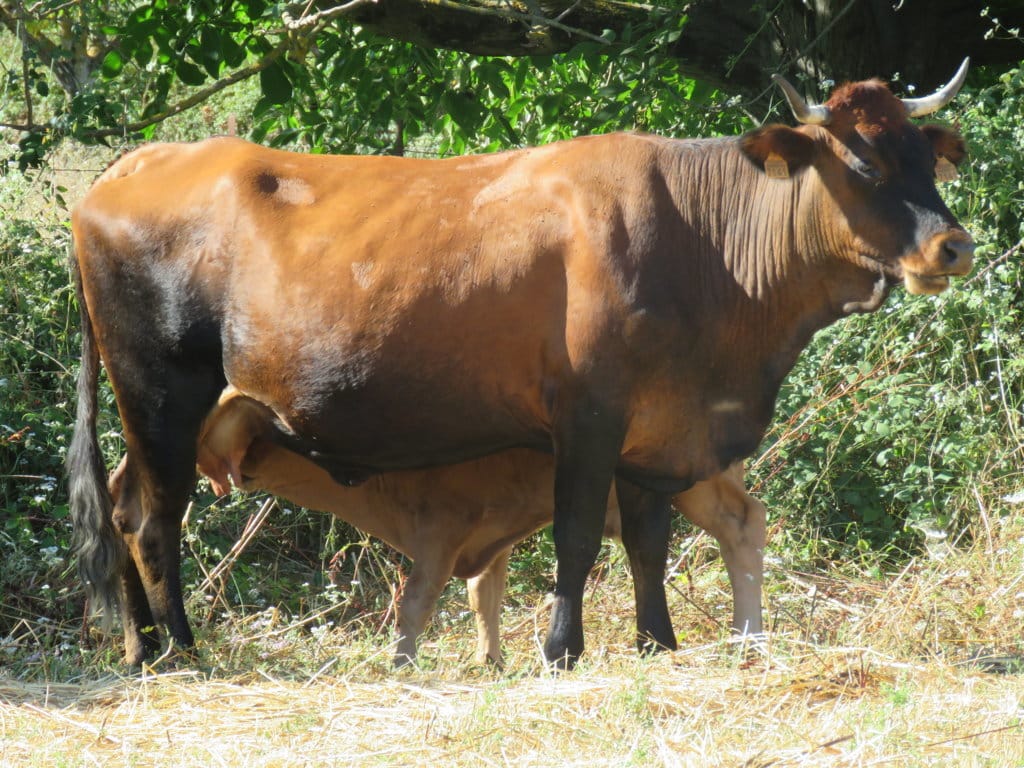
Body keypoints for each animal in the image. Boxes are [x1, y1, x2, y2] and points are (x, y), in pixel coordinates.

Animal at [184, 387, 765, 663]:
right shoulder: (491, 539)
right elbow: (484, 596)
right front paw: (490, 660)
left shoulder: (440, 534)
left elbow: (416, 602)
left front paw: (401, 663)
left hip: (693, 482)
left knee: (743, 524)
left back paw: (747, 637)